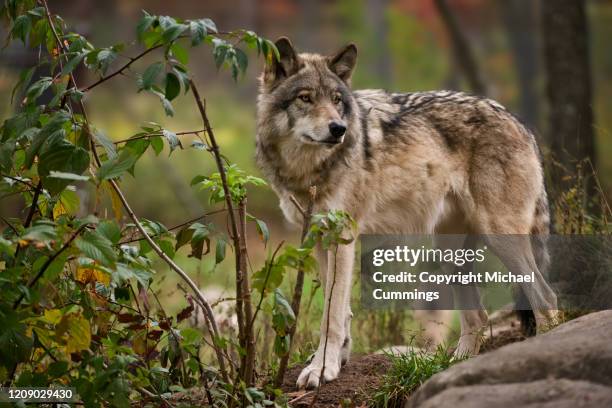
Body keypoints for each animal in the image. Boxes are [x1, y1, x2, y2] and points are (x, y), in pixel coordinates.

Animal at [253, 38, 560, 388]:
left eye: (336, 100)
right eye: (305, 98)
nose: (338, 129)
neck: (310, 171)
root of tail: (524, 126)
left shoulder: (343, 237)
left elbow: (331, 315)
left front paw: (320, 370)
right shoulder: (320, 238)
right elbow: (342, 312)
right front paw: (337, 361)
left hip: (500, 238)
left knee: (546, 300)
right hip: (451, 253)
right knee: (478, 318)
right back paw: (453, 369)